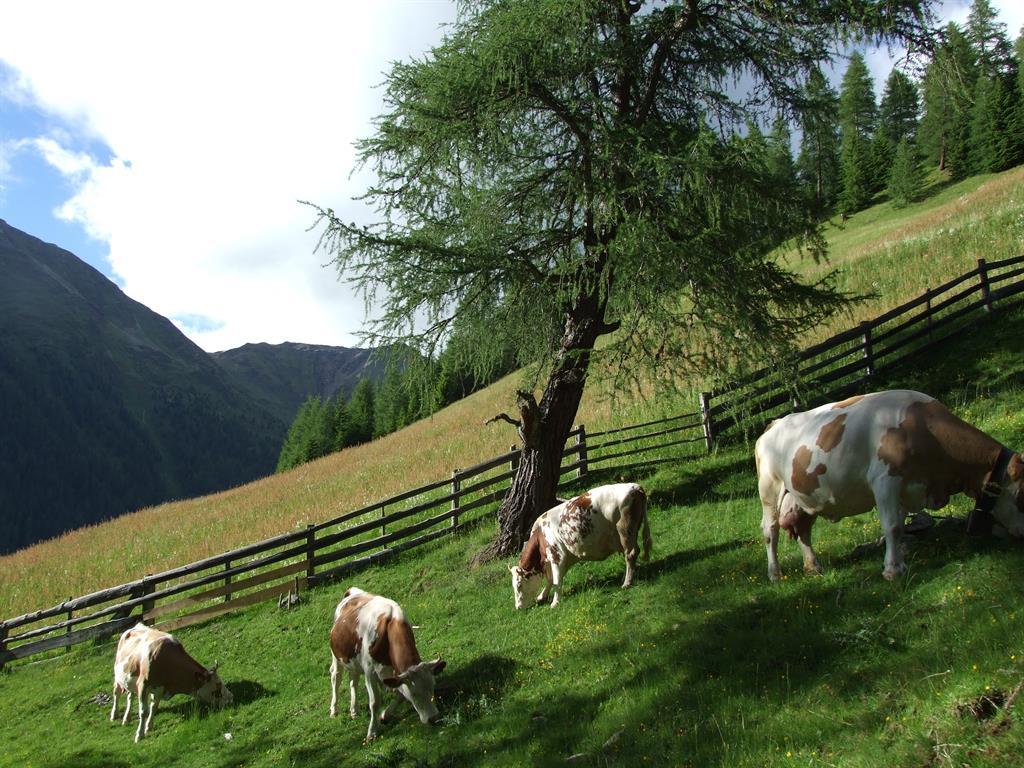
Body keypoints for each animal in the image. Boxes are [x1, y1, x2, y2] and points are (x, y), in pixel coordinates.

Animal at [329, 587, 446, 741]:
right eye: (414, 694)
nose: (434, 719)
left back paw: (354, 710)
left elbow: (400, 694)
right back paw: (334, 710)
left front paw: (385, 716)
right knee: (336, 677)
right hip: (337, 656)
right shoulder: (370, 671)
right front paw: (372, 732)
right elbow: (374, 702)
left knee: (353, 680)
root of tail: (352, 592)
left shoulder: (395, 672)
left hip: (353, 660)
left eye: (432, 687)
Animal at [509, 482, 651, 609]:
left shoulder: (557, 555)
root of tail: (634, 486)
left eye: (519, 585)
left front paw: (555, 602)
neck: (540, 535)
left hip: (625, 531)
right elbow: (551, 579)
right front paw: (541, 596)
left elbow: (556, 580)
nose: (518, 607)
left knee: (631, 554)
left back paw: (627, 583)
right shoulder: (555, 559)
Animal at [755, 389, 1024, 582]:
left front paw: (900, 561)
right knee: (771, 530)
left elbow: (901, 526)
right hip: (770, 489)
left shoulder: (907, 489)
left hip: (804, 494)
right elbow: (892, 526)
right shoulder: (885, 481)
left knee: (803, 529)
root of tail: (774, 424)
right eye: (1022, 495)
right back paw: (775, 573)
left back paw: (813, 567)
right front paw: (892, 570)